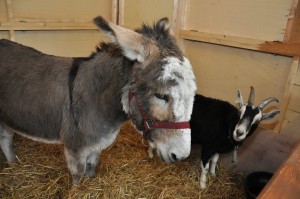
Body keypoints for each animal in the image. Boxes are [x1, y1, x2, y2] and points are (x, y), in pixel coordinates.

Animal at [146, 86, 280, 188]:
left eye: (257, 121)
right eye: (239, 113)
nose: (239, 132)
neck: (227, 123)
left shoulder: (216, 148)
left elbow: (215, 160)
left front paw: (213, 174)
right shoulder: (208, 147)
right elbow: (204, 167)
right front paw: (203, 185)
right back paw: (151, 154)